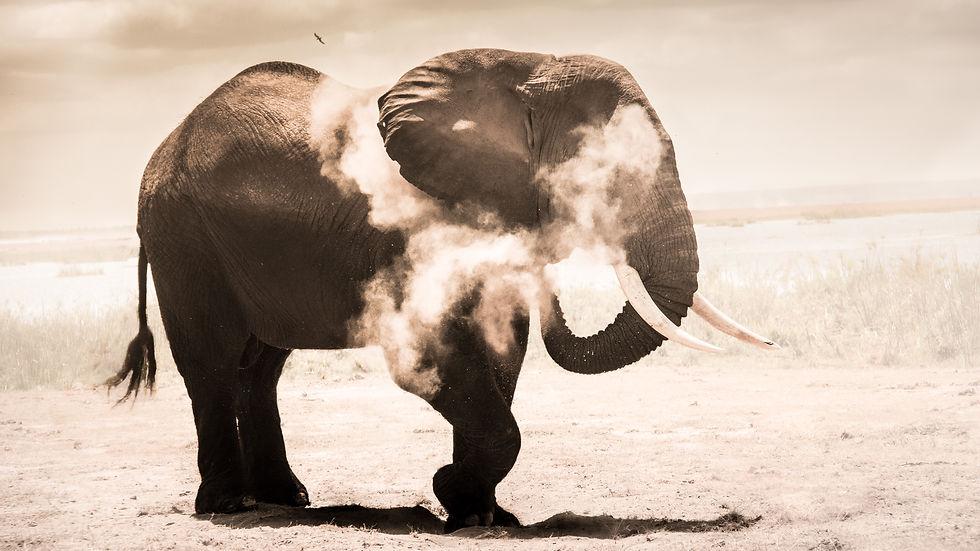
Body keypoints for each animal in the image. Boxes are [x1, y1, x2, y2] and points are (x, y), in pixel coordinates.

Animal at [107, 49, 777, 532]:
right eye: (603, 169)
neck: (525, 68)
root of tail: (166, 147)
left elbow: (504, 346)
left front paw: (481, 512)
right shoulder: (409, 230)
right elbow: (430, 356)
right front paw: (451, 493)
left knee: (261, 366)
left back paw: (288, 499)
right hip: (184, 238)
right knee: (213, 362)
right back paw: (230, 507)